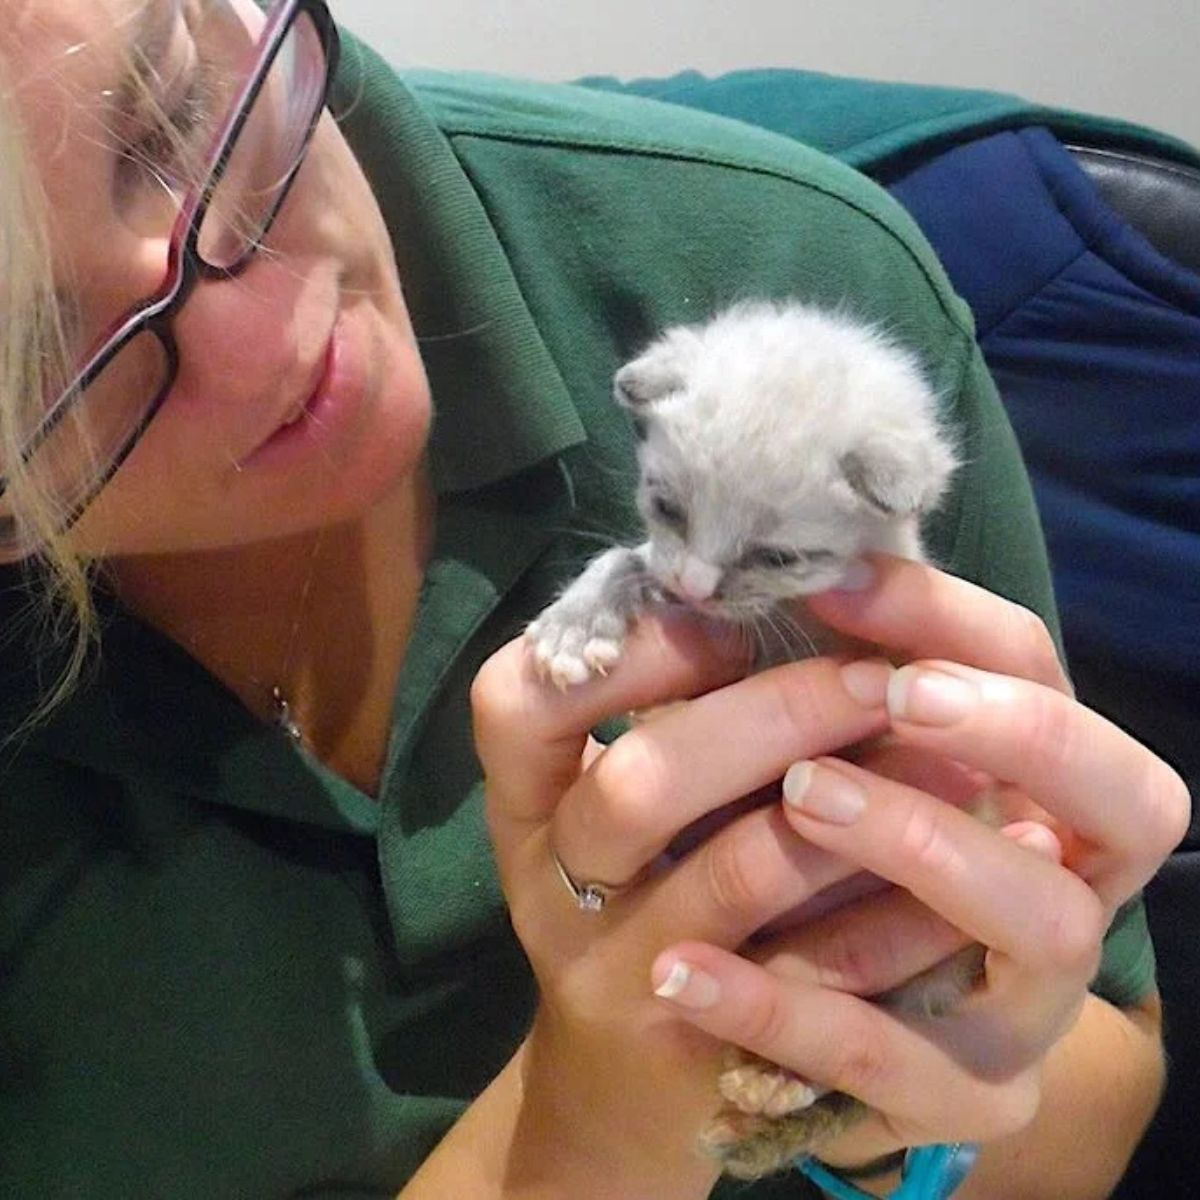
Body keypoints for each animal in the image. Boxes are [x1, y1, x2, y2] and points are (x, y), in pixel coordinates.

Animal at [528, 295, 974, 1176]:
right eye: (668, 506)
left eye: (778, 556)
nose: (690, 589)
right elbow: (624, 558)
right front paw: (580, 618)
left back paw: (779, 1078)